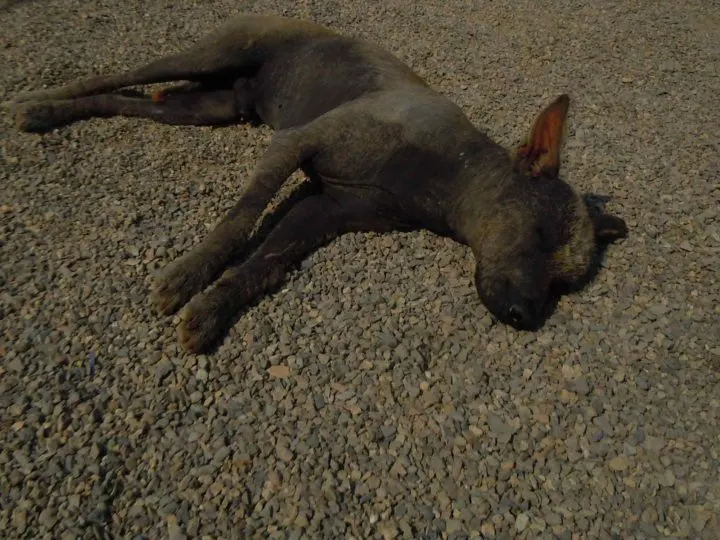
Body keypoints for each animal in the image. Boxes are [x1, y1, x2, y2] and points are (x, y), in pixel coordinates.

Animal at [4, 12, 624, 352]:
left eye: (563, 285)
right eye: (538, 236)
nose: (527, 317)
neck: (443, 175)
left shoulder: (322, 211)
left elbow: (266, 264)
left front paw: (212, 307)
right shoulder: (293, 144)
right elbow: (239, 222)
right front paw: (189, 274)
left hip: (209, 107)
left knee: (130, 101)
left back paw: (52, 113)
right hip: (212, 56)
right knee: (113, 76)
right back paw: (41, 100)